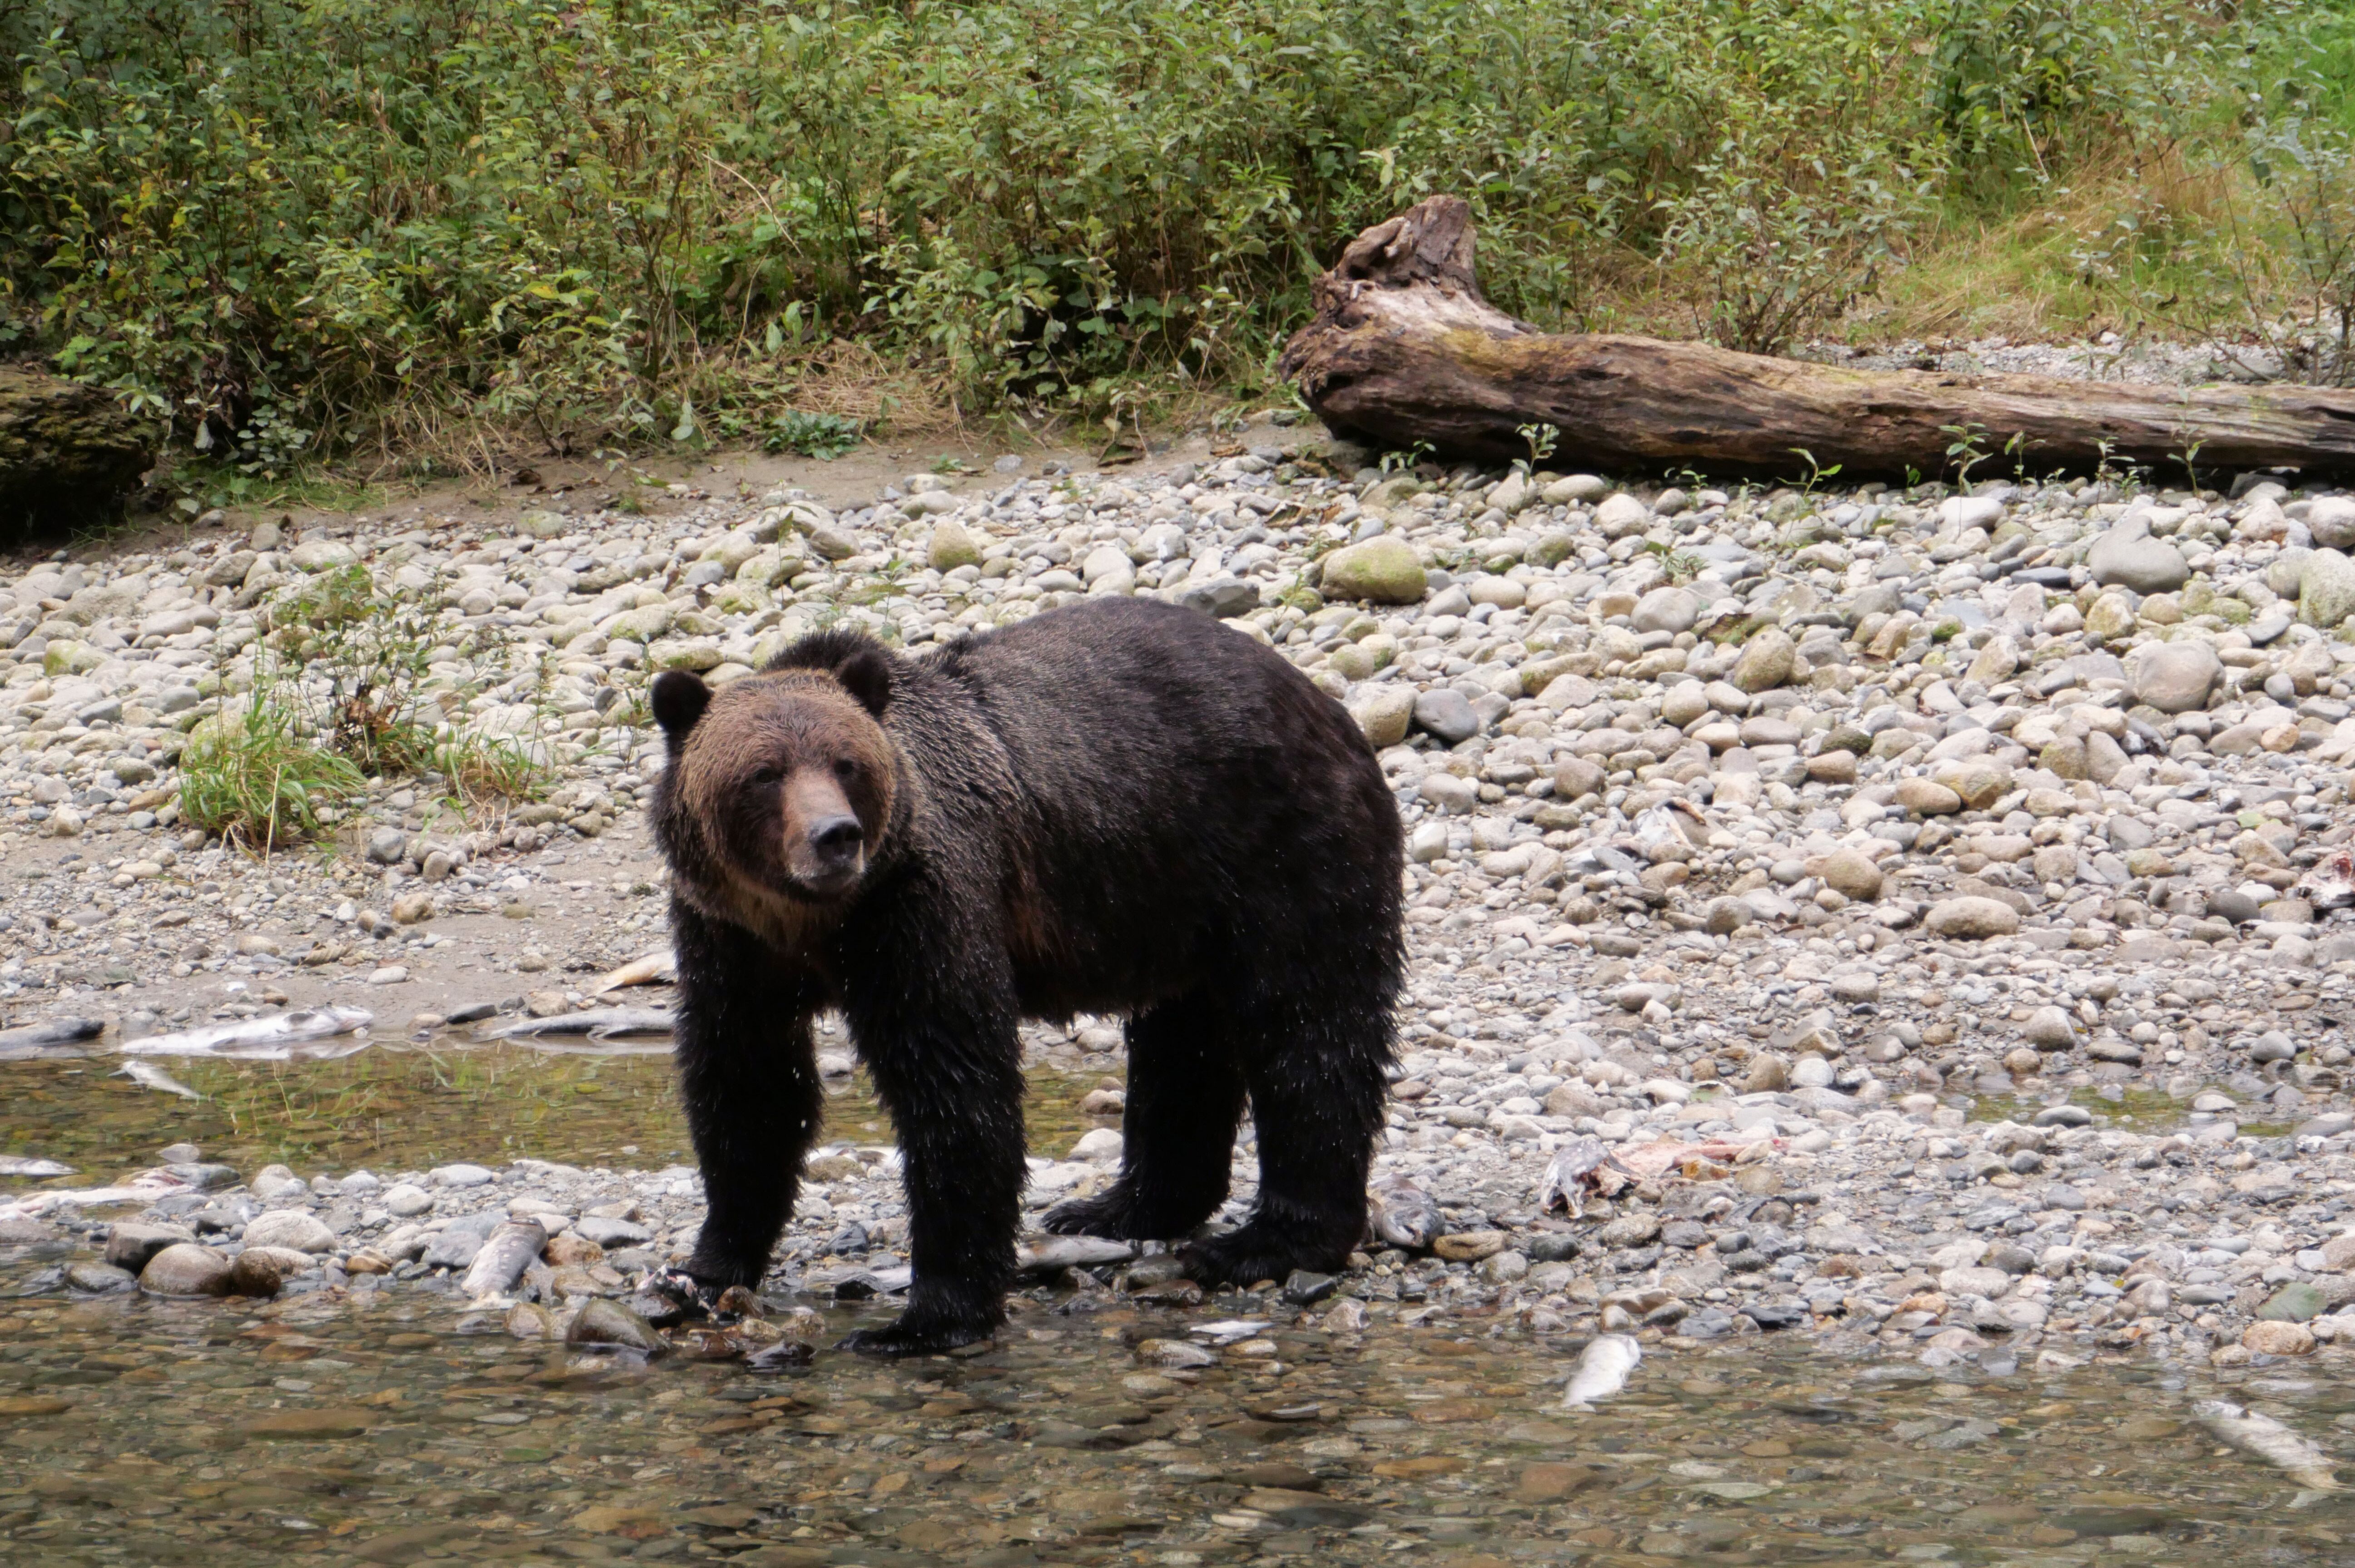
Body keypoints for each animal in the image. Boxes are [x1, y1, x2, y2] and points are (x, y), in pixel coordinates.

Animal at [648, 595, 1403, 1355]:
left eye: (847, 763)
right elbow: (749, 1088)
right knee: (1182, 1048)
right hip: (1176, 901)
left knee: (1309, 1032)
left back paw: (1264, 1243)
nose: (836, 836)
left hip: (1284, 852)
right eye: (765, 772)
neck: (815, 923)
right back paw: (1119, 1207)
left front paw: (927, 1317)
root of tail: (1323, 703)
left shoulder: (919, 908)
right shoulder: (729, 942)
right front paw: (701, 1272)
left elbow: (954, 1086)